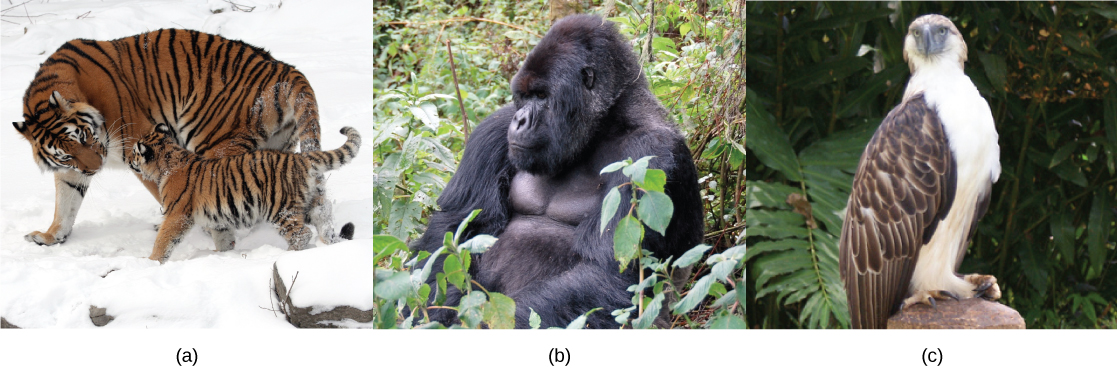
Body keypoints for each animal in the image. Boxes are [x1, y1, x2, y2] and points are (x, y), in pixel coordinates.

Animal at [10, 29, 321, 246]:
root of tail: (284, 68)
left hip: (214, 141)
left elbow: (167, 191)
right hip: (276, 147)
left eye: (85, 136)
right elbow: (66, 202)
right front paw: (51, 236)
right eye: (66, 154)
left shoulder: (138, 146)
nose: (96, 168)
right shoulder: (72, 170)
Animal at [415, 13, 701, 326]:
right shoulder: (492, 130)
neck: (603, 126)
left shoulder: (651, 155)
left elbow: (610, 272)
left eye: (541, 96)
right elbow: (450, 231)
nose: (519, 120)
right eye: (524, 96)